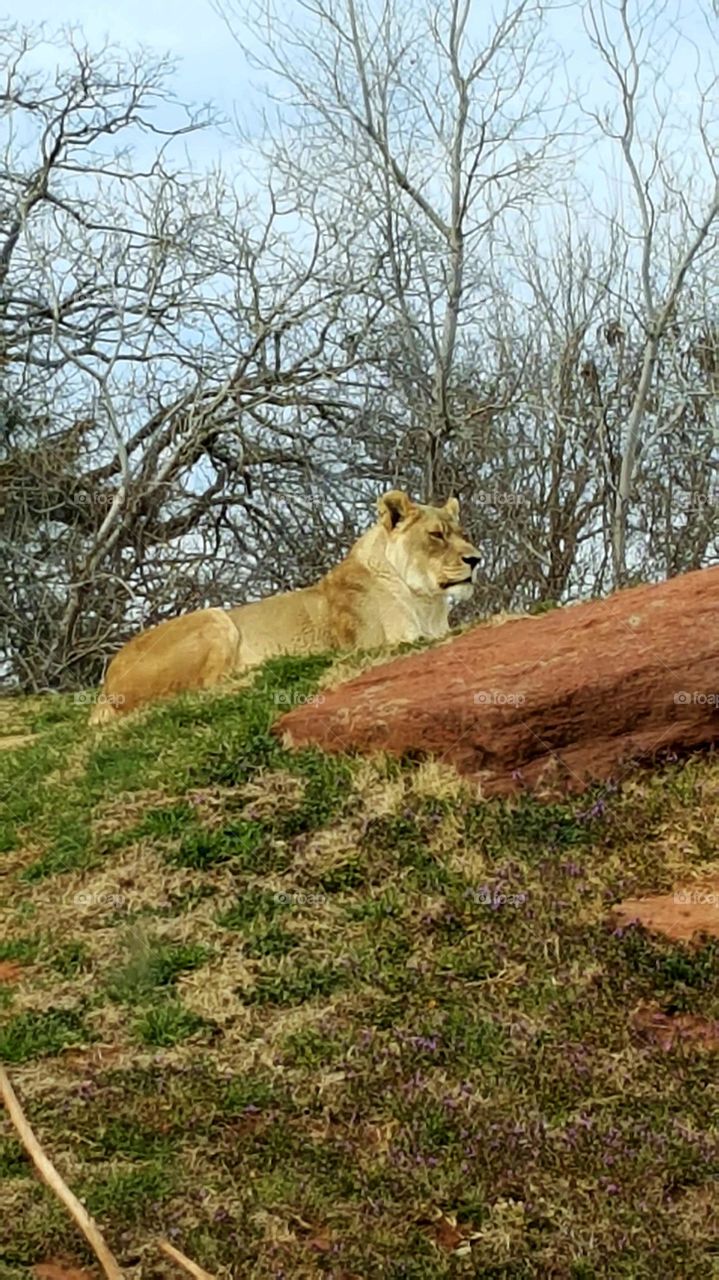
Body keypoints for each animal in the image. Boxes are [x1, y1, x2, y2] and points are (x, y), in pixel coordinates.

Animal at [88, 490, 480, 724]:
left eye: (464, 534)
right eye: (436, 534)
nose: (476, 559)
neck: (427, 603)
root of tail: (106, 685)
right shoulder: (380, 642)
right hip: (215, 617)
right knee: (200, 687)